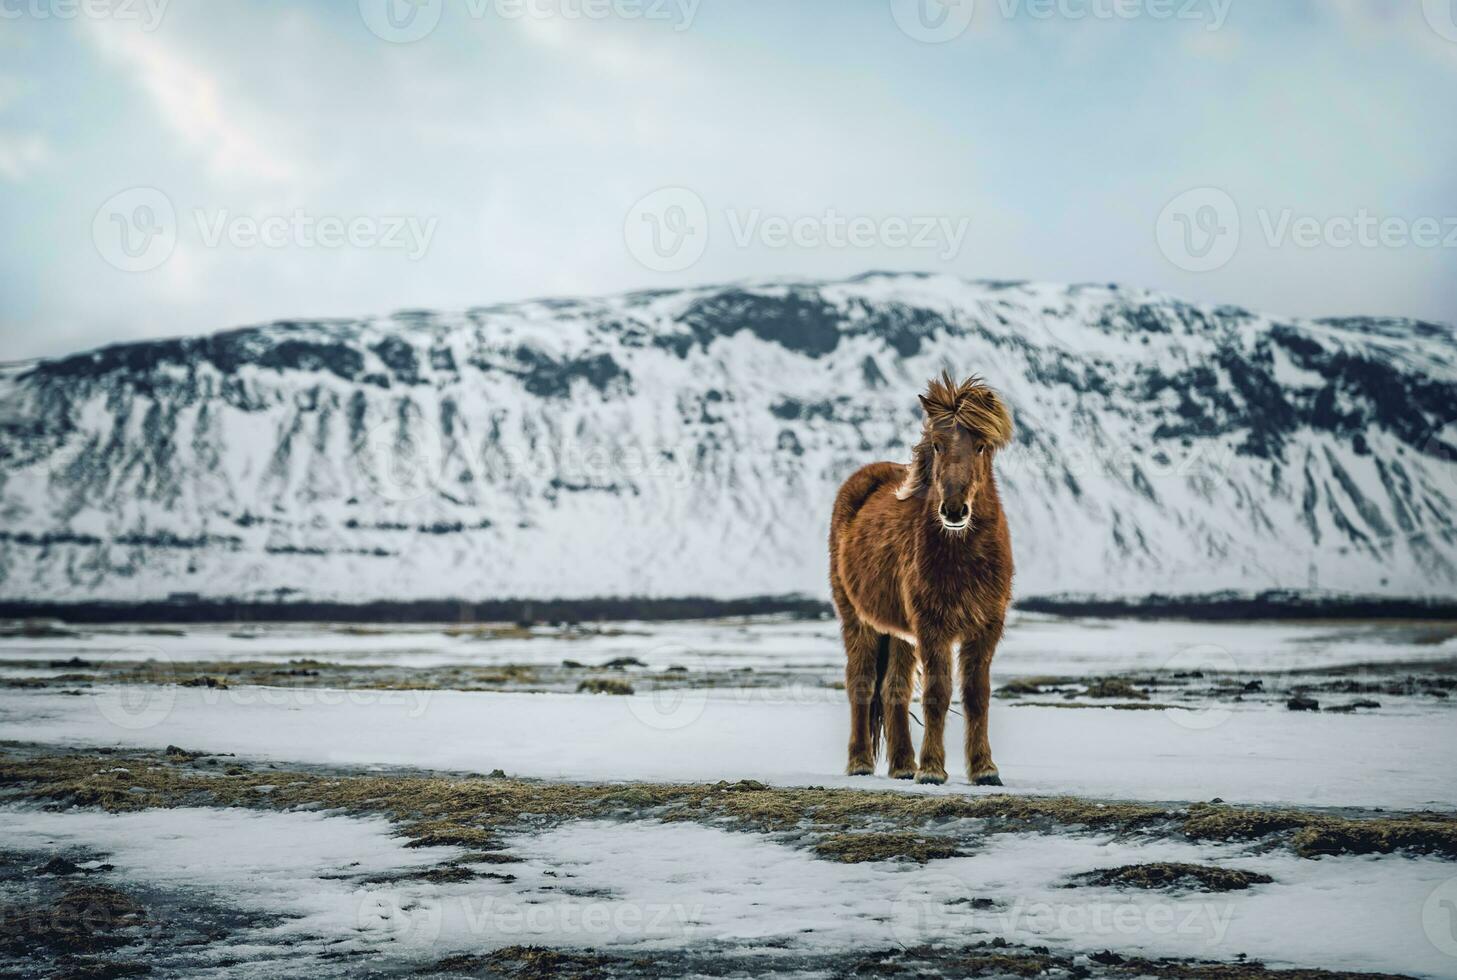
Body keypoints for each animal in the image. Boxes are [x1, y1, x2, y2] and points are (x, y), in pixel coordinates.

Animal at [833, 371, 1014, 786]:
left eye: (981, 445)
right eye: (936, 443)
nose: (954, 510)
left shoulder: (986, 626)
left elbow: (977, 694)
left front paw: (984, 769)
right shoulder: (934, 626)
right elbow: (938, 692)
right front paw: (932, 770)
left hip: (900, 632)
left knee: (894, 687)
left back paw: (902, 766)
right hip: (857, 619)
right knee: (862, 682)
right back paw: (860, 763)